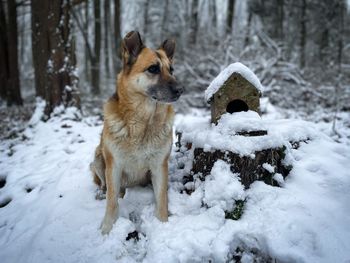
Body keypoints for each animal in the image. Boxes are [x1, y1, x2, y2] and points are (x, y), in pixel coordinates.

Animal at [89, 31, 183, 235]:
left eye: (171, 70)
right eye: (153, 69)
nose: (181, 90)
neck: (142, 124)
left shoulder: (159, 166)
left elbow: (161, 200)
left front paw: (163, 226)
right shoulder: (114, 166)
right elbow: (111, 203)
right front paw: (107, 230)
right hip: (98, 158)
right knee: (106, 186)